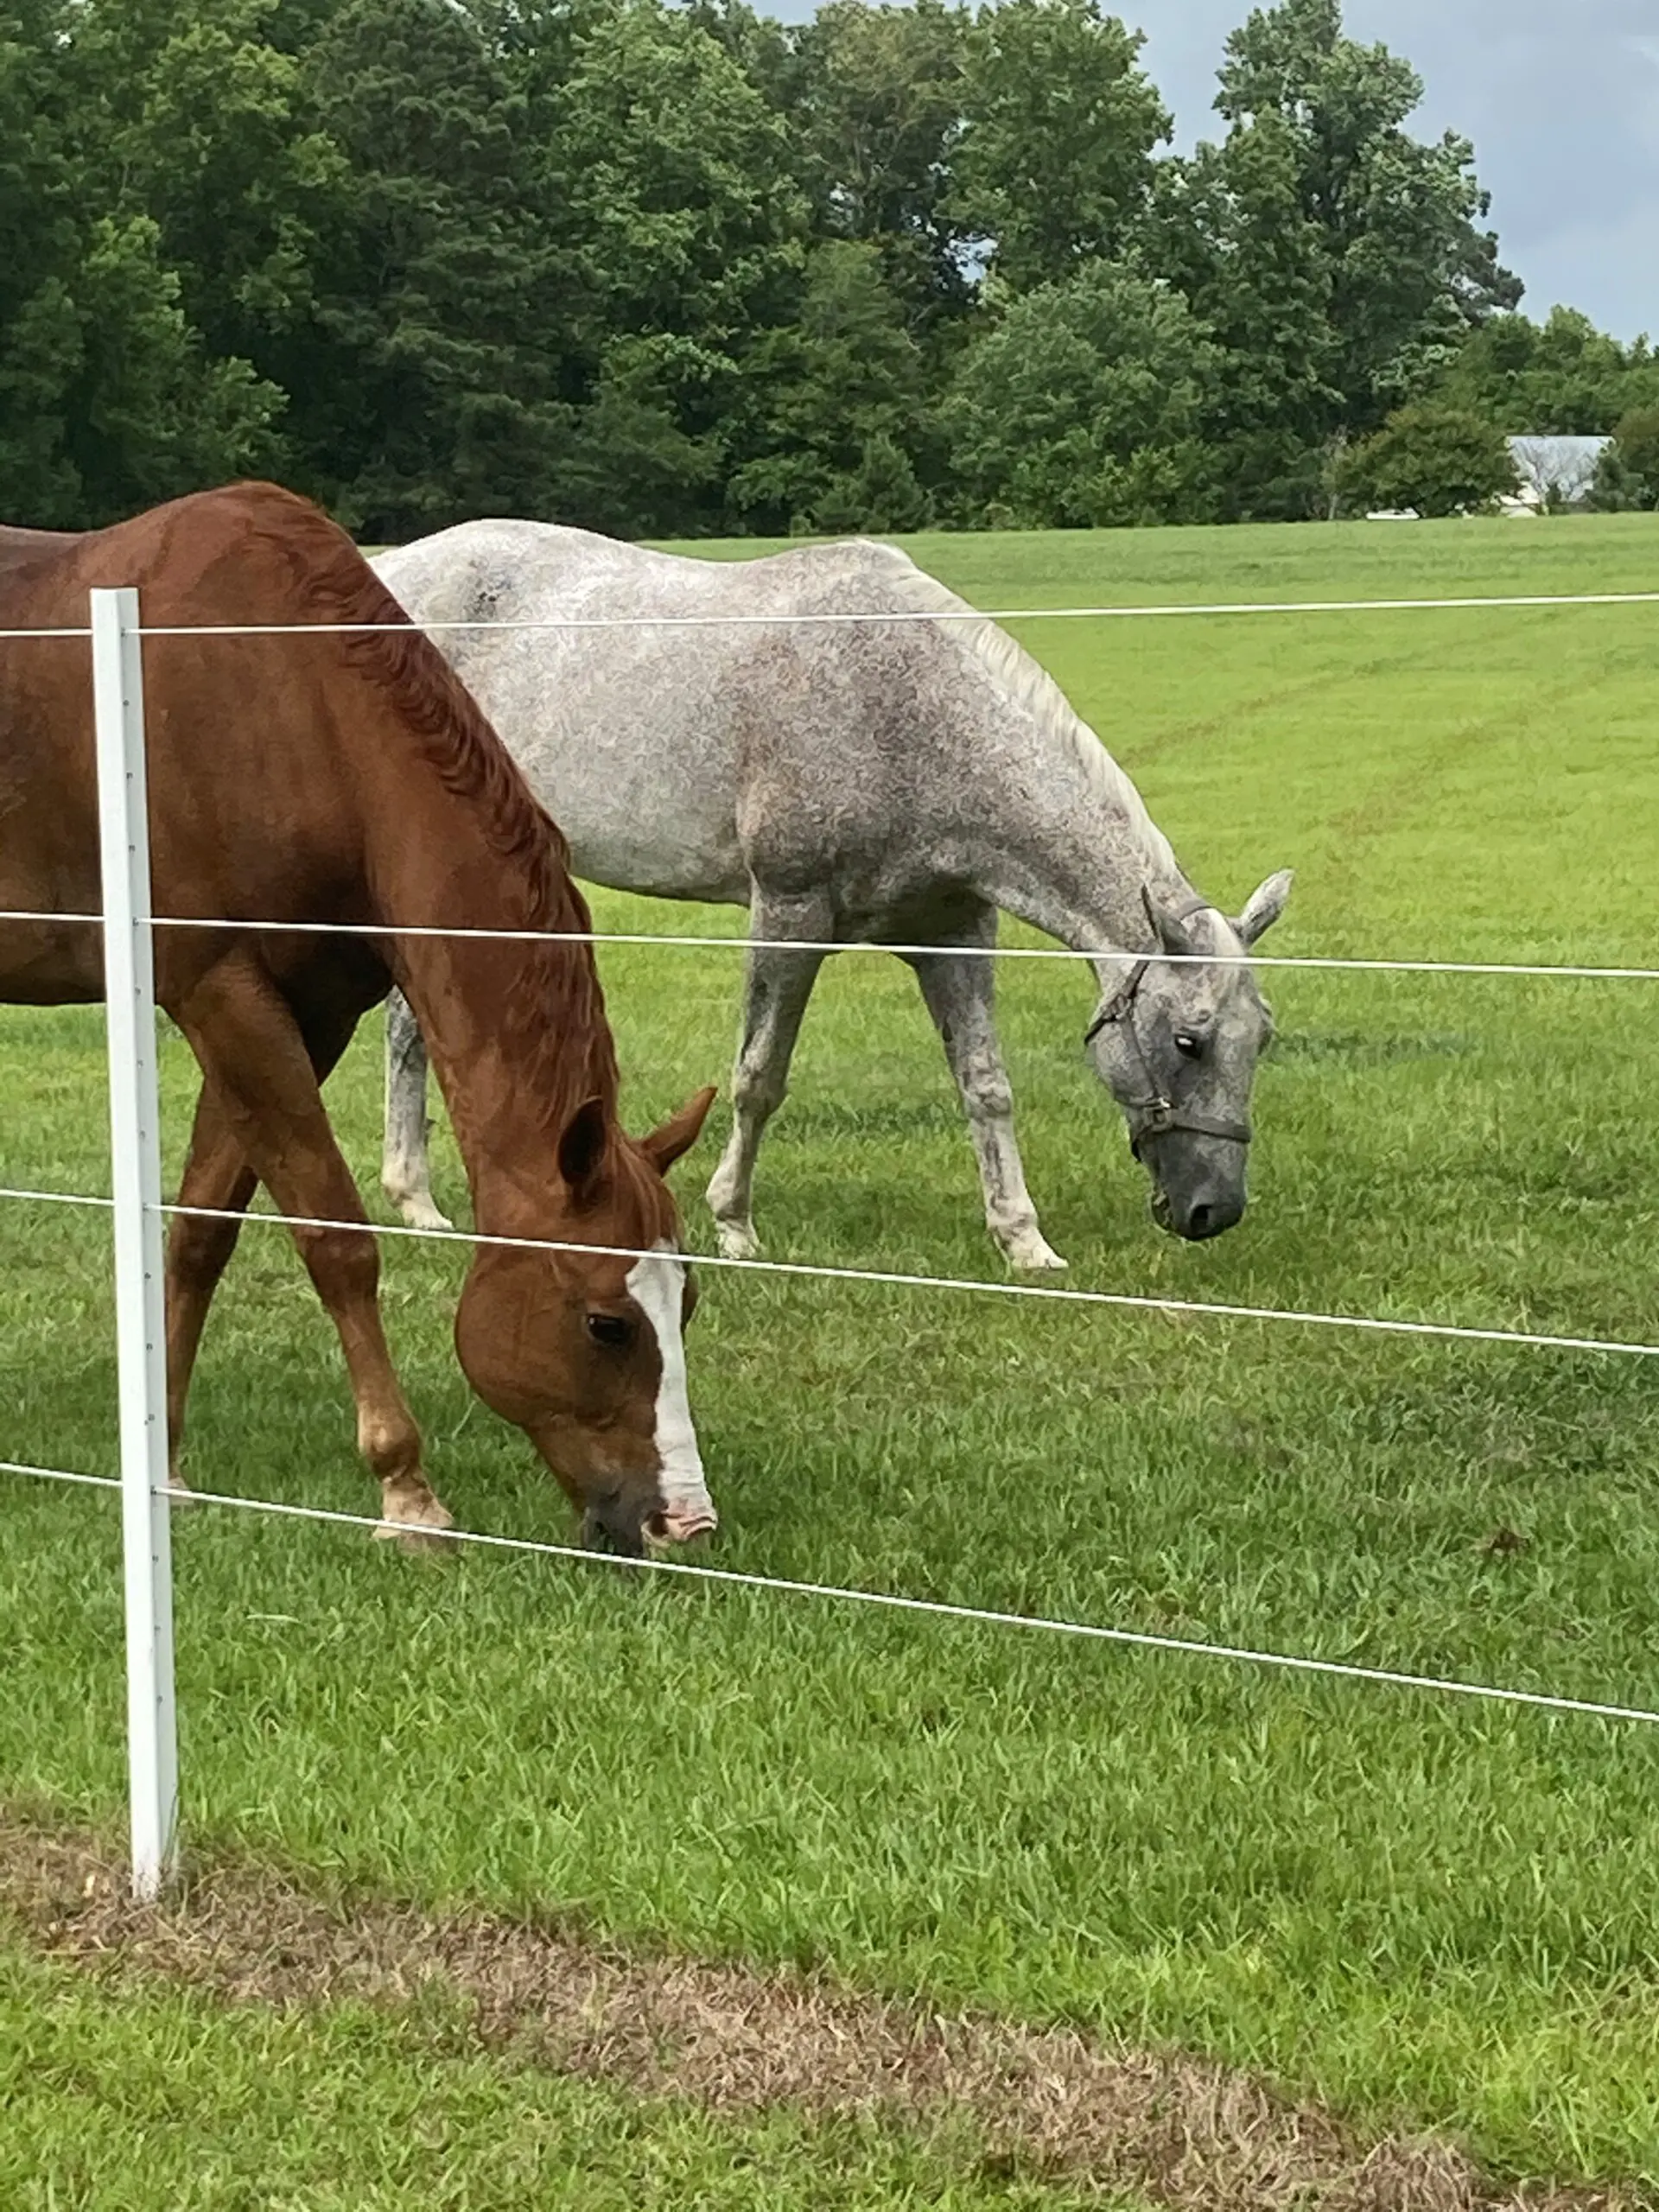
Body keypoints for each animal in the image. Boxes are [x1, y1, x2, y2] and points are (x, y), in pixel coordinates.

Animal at [1, 484, 716, 1557]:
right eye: (606, 1323)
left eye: (690, 1301)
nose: (685, 1519)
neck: (284, 705)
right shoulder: (223, 995)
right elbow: (337, 1240)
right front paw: (405, 1489)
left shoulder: (305, 1013)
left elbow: (202, 1234)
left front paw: (164, 1464)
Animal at [369, 524, 1292, 1274]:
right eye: (1189, 1041)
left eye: (1263, 1038)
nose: (1214, 1211)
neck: (909, 716)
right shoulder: (790, 913)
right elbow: (758, 1077)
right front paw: (734, 1223)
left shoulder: (953, 931)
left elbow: (986, 1085)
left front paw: (1023, 1240)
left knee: (416, 1020)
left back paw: (425, 1200)